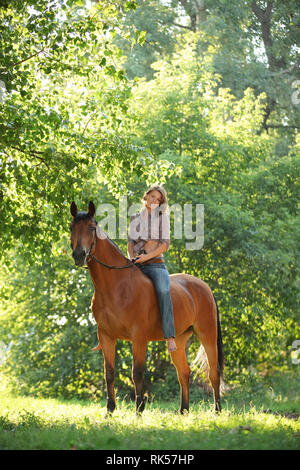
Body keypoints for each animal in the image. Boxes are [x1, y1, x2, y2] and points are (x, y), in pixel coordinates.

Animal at [69, 200, 224, 414]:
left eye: (92, 228)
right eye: (71, 227)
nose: (78, 255)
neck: (117, 286)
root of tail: (205, 287)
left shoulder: (138, 337)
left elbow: (137, 373)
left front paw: (139, 410)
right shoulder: (106, 336)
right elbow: (109, 373)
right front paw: (110, 410)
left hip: (207, 335)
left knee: (213, 373)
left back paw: (217, 411)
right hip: (179, 341)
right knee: (184, 372)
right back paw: (183, 411)